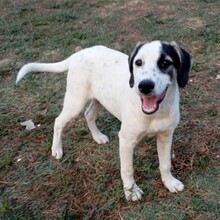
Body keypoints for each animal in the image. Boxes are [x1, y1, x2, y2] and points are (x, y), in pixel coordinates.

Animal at [15, 40, 191, 201]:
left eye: (165, 63)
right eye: (138, 62)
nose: (144, 86)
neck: (156, 113)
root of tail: (78, 54)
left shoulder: (166, 136)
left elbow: (165, 163)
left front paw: (169, 182)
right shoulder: (126, 140)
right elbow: (127, 169)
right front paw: (131, 191)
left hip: (99, 100)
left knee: (89, 114)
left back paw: (97, 137)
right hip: (75, 101)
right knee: (59, 121)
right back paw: (57, 149)